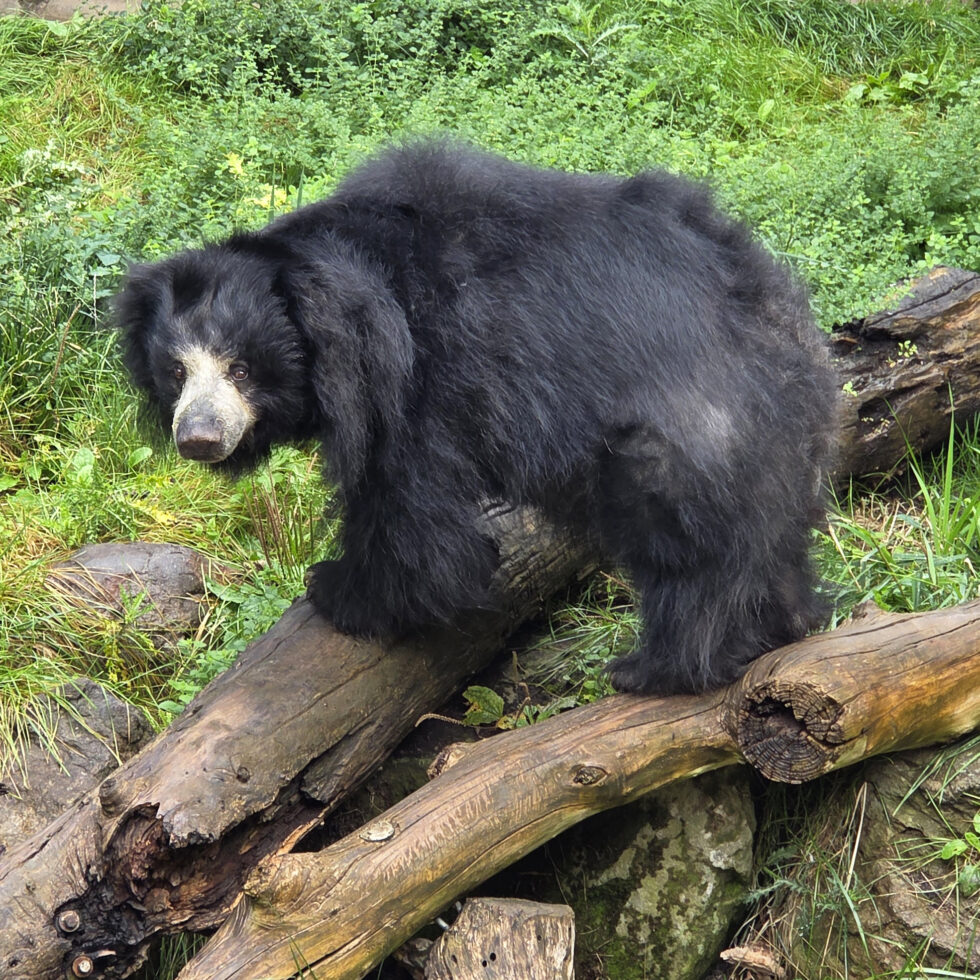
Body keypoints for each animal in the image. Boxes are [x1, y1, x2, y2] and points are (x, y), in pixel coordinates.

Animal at [117, 140, 837, 695]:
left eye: (241, 368)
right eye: (175, 371)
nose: (199, 438)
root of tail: (778, 317)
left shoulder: (425, 377)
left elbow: (409, 507)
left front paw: (339, 589)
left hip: (680, 430)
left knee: (691, 547)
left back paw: (658, 668)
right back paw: (787, 623)